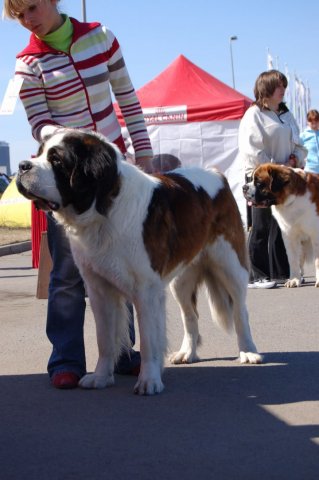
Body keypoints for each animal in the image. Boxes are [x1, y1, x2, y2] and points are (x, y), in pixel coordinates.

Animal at [16, 129, 262, 396]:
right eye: (39, 154)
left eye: (57, 160)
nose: (22, 165)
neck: (103, 212)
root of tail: (218, 174)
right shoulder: (99, 290)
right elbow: (104, 339)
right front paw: (101, 377)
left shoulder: (146, 291)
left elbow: (148, 341)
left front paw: (149, 380)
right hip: (180, 280)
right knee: (190, 315)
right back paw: (187, 353)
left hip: (230, 265)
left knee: (240, 311)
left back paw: (248, 351)